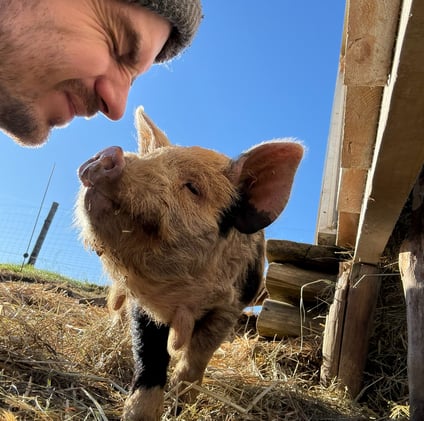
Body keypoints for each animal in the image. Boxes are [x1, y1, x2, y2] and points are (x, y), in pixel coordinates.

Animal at [75, 107, 303, 421]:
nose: (110, 153)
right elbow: (149, 358)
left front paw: (182, 406)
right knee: (116, 309)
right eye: (151, 158)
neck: (185, 302)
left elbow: (196, 359)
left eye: (193, 188)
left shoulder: (228, 309)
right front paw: (137, 415)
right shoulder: (144, 306)